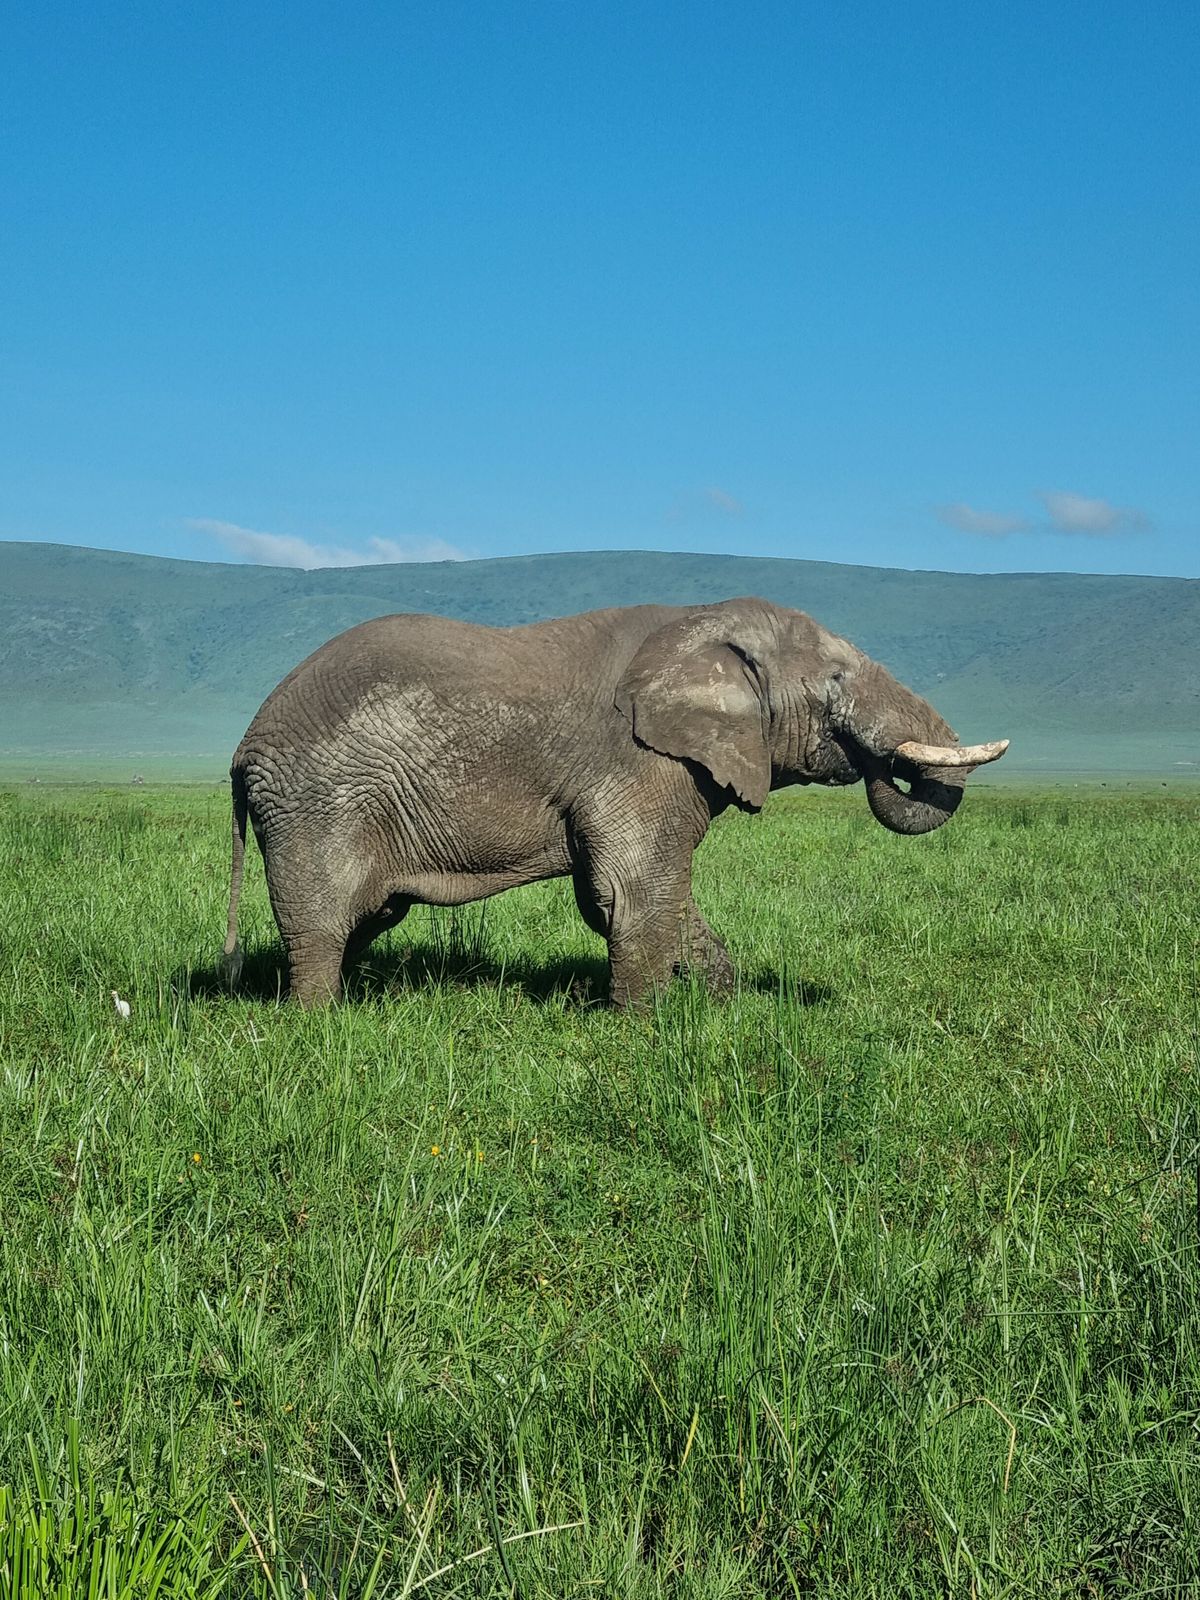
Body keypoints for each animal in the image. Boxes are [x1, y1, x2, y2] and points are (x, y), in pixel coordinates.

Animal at [221, 598, 1007, 1008]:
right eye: (836, 680)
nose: (880, 762)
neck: (698, 623)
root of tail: (242, 747)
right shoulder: (638, 761)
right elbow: (629, 891)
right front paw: (641, 1028)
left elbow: (645, 897)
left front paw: (718, 1009)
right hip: (316, 803)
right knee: (323, 924)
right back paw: (318, 1022)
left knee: (365, 920)